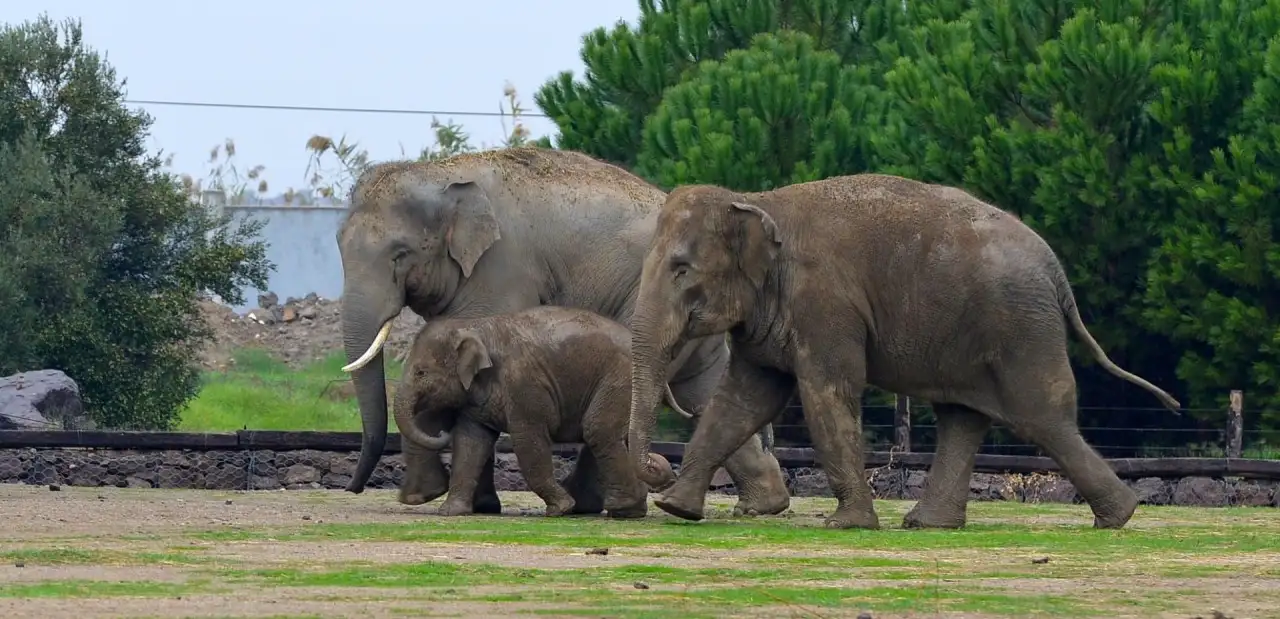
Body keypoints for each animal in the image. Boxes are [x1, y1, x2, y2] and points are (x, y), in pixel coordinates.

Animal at [394, 305, 686, 516]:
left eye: (420, 373)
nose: (440, 430)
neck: (476, 326)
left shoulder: (524, 386)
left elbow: (528, 441)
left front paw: (560, 509)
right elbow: (471, 442)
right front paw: (450, 512)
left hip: (620, 379)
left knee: (599, 431)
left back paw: (623, 510)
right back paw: (631, 508)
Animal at [622, 175, 1177, 532]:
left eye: (681, 269)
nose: (655, 469)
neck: (757, 201)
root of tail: (1056, 272)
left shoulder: (825, 303)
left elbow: (826, 394)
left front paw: (846, 526)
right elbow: (742, 401)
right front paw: (677, 510)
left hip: (1020, 326)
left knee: (1041, 416)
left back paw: (1119, 516)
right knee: (963, 416)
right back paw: (930, 525)